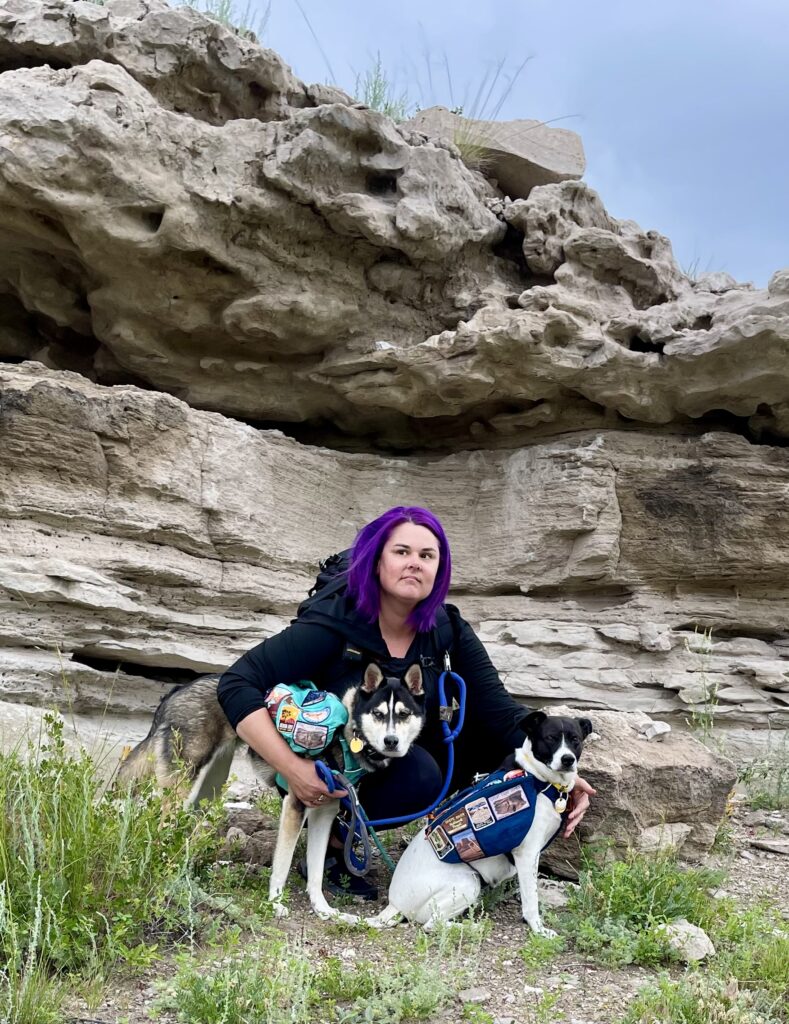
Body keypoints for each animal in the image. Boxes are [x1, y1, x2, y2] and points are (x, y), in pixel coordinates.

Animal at [370, 712, 593, 937]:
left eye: (575, 739)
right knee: (432, 924)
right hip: (468, 882)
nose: (567, 759)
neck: (539, 780)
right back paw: (474, 927)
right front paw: (538, 929)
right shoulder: (527, 854)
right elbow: (531, 899)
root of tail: (394, 904)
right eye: (550, 738)